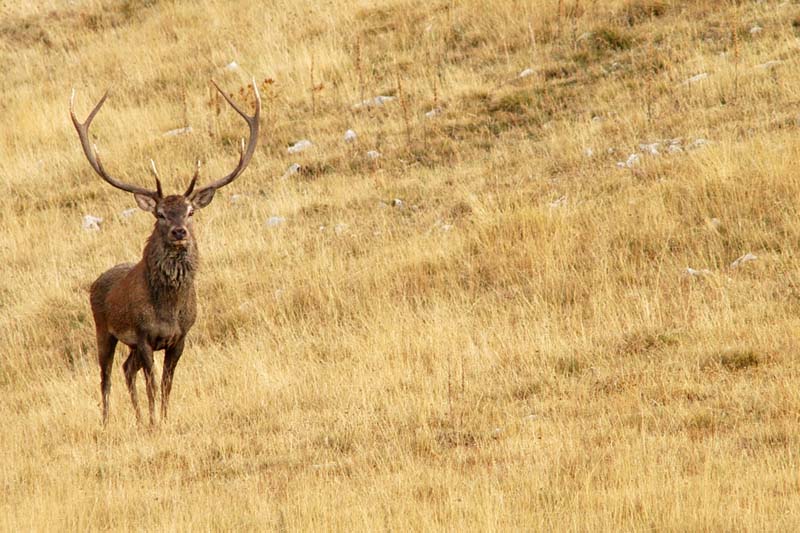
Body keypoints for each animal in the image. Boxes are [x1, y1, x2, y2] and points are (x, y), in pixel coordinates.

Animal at [70, 79, 260, 424]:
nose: (179, 232)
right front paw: (155, 423)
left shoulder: (180, 337)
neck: (169, 310)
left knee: (126, 369)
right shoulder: (144, 336)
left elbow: (168, 384)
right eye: (160, 214)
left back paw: (137, 419)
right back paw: (106, 422)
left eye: (190, 211)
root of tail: (97, 280)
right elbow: (153, 384)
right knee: (106, 376)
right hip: (103, 328)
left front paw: (163, 419)